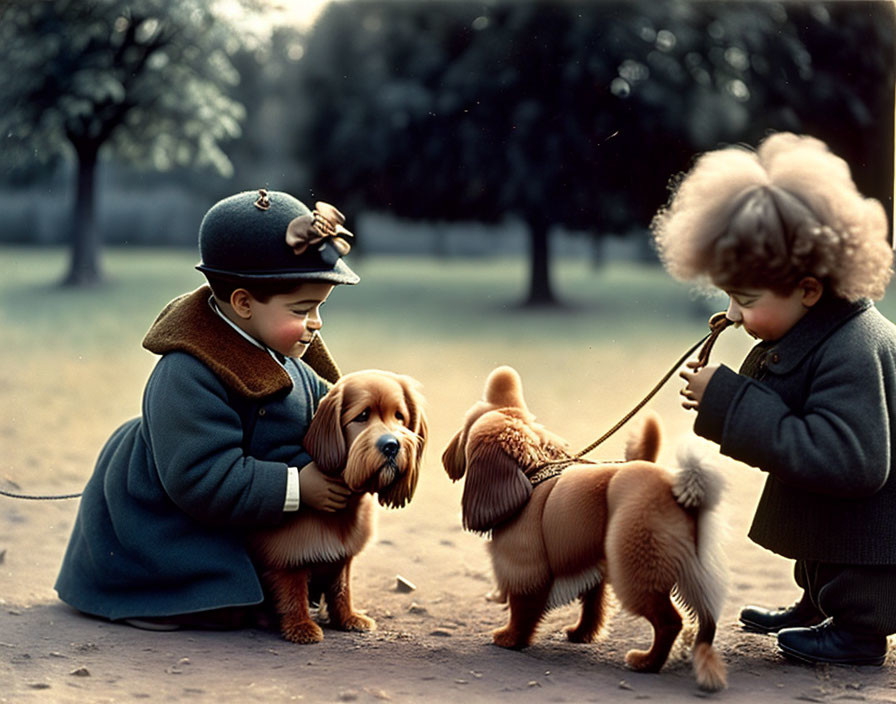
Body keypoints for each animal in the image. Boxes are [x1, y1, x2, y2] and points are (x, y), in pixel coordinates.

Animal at [250, 372, 428, 648]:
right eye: (362, 416)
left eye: (399, 416)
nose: (392, 445)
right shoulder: (287, 551)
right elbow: (293, 590)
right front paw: (300, 627)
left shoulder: (342, 555)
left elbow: (340, 586)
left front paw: (347, 618)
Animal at [440, 366, 728, 692]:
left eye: (465, 430)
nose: (444, 456)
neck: (530, 473)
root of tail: (680, 489)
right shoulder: (591, 564)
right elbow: (593, 604)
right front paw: (582, 634)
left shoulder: (526, 569)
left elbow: (522, 609)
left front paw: (510, 639)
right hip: (694, 570)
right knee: (706, 619)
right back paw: (701, 658)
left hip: (636, 569)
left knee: (669, 621)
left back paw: (646, 663)